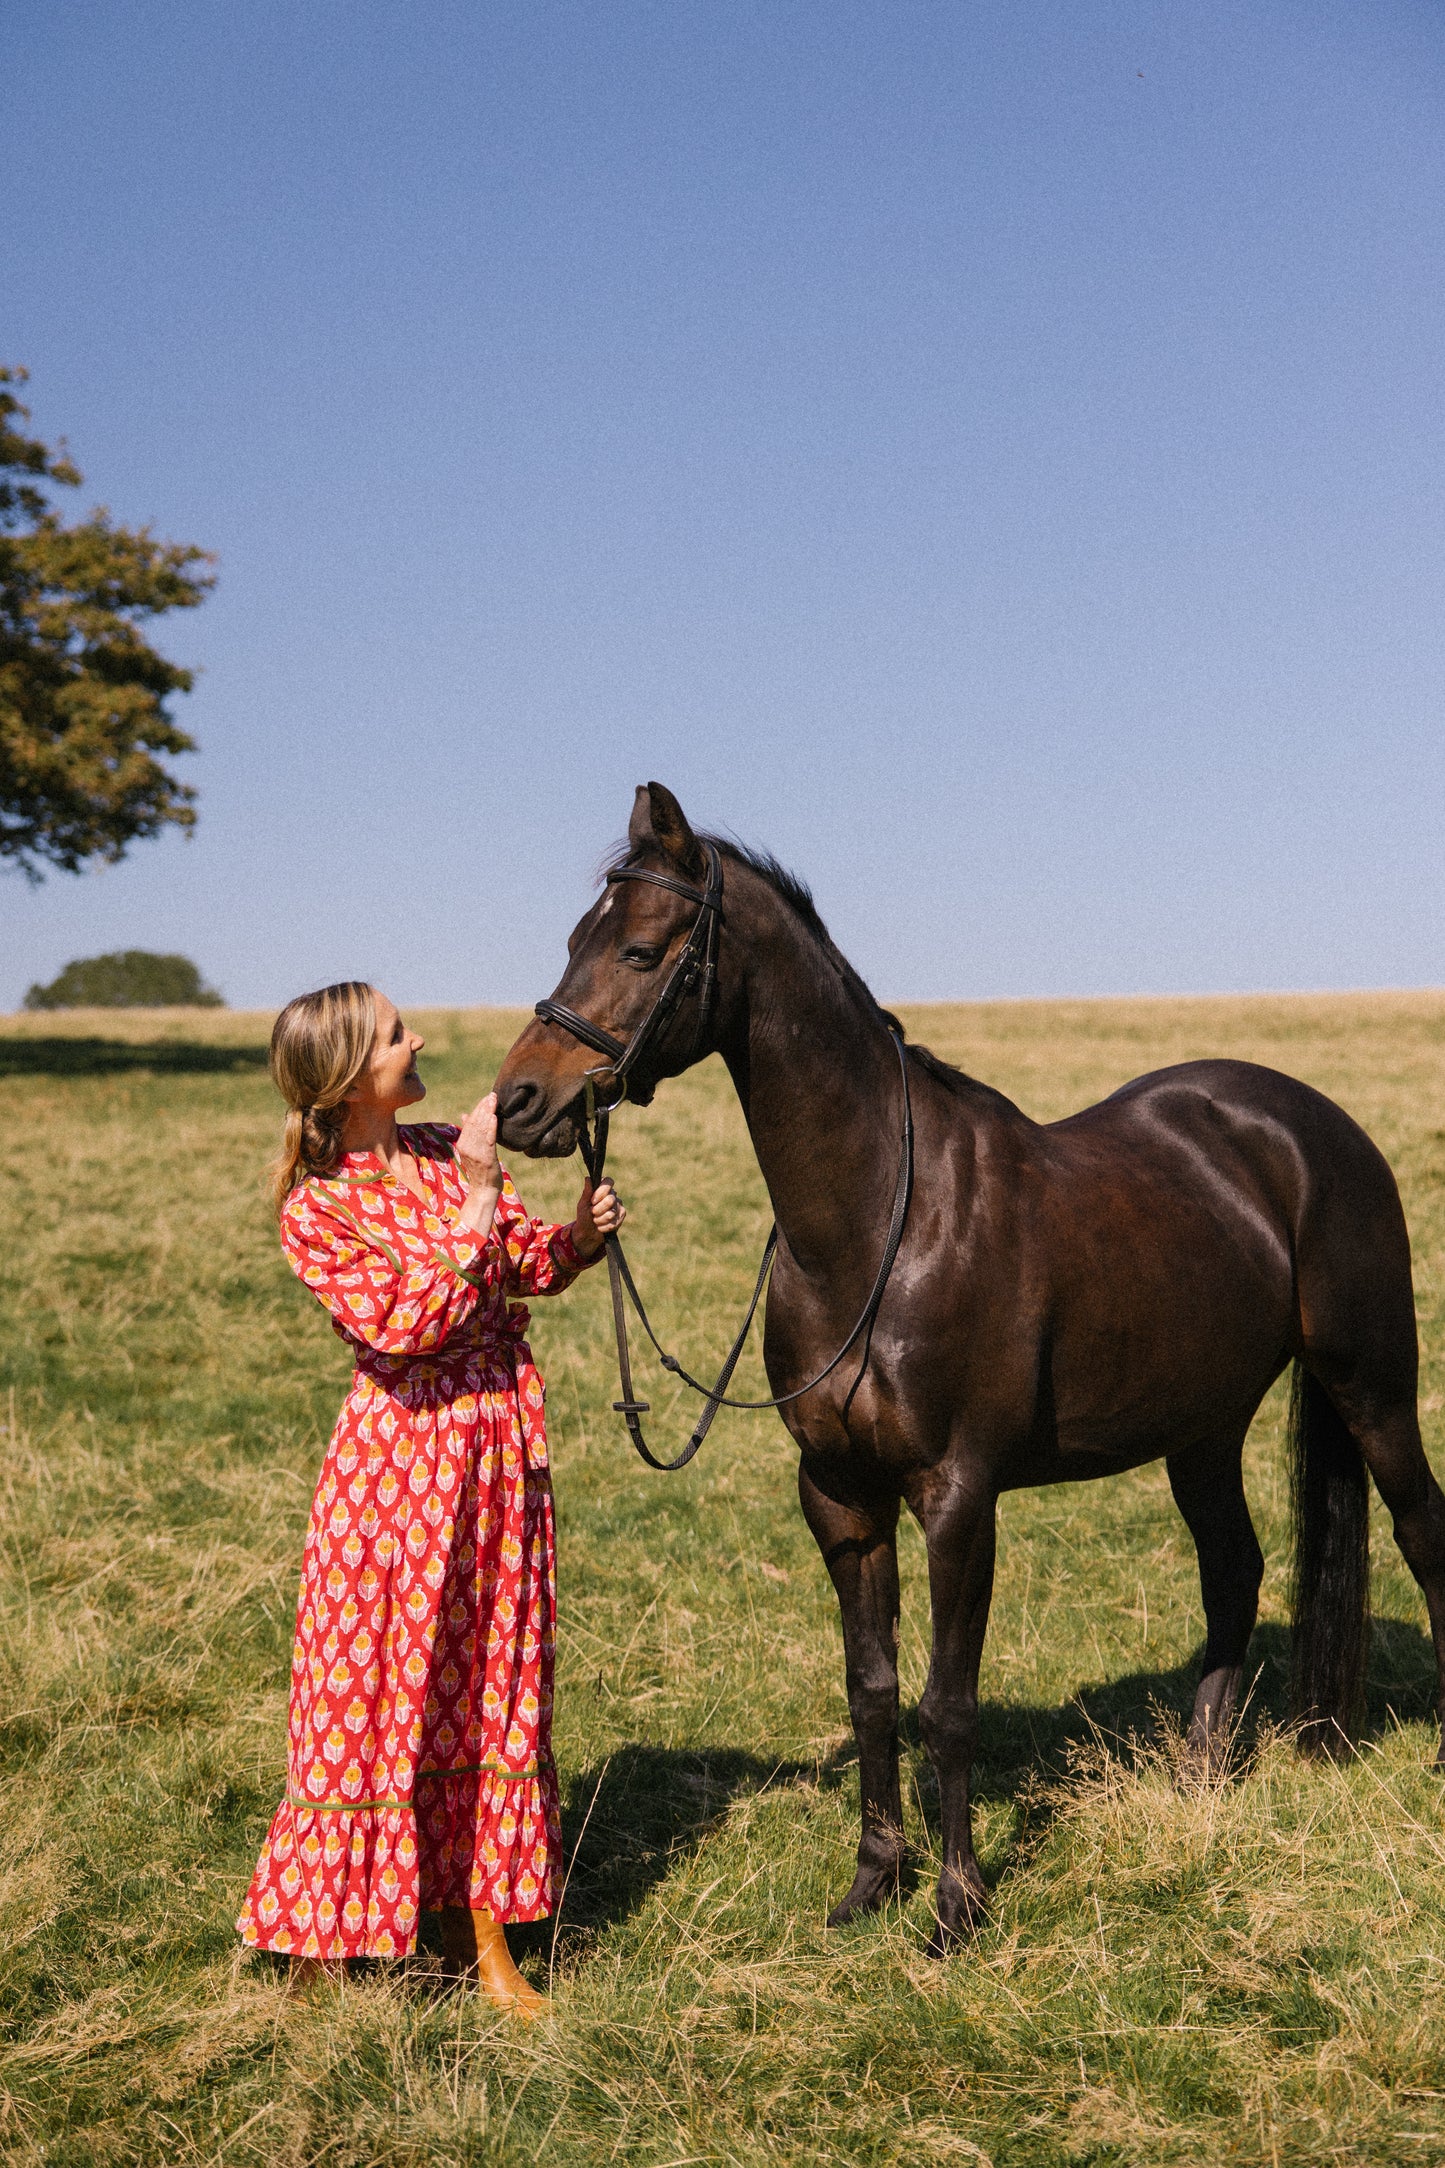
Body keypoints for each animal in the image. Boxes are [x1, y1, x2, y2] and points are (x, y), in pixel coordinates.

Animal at [493, 776, 1445, 1951]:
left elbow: (947, 1701)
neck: (875, 1228)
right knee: (1233, 1567)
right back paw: (1197, 1778)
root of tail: (1311, 1126)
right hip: (1201, 1427)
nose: (519, 1103)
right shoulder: (840, 1495)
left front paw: (954, 1908)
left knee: (1420, 1531)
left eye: (635, 947)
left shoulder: (956, 1495)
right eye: (573, 939)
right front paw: (870, 1882)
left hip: (1370, 1386)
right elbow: (871, 1688)